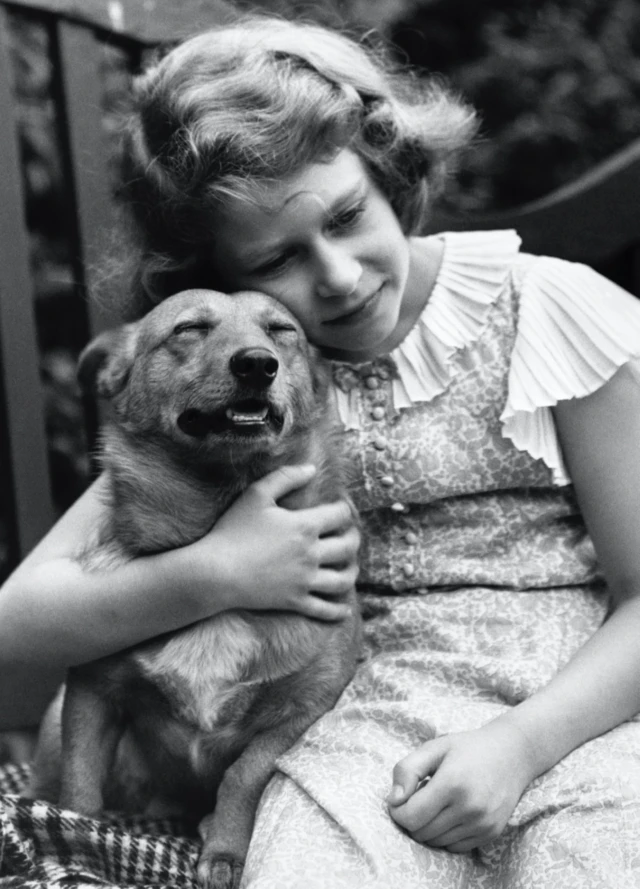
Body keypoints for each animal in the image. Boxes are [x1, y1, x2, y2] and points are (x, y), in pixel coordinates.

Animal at [27, 288, 362, 888]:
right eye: (189, 329)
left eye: (282, 331)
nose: (256, 363)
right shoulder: (90, 694)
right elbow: (79, 792)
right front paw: (75, 845)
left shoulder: (304, 709)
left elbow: (245, 774)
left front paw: (225, 850)